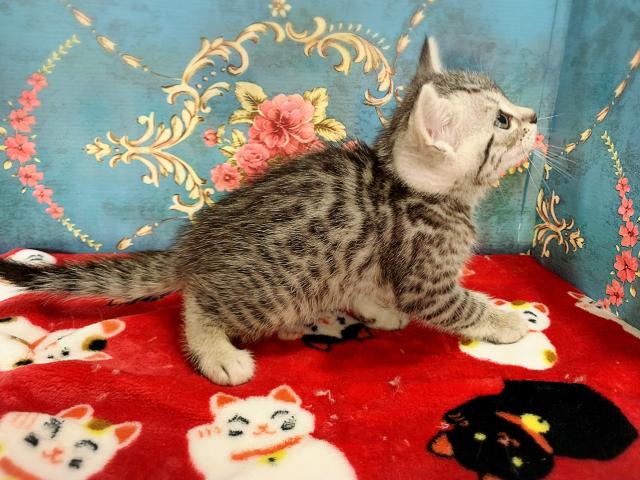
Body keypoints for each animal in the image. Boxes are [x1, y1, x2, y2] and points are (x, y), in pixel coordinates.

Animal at [0, 37, 538, 385]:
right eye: (502, 120)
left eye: (509, 105)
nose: (533, 116)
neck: (410, 188)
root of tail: (194, 247)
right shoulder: (425, 277)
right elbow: (458, 305)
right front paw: (506, 322)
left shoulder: (369, 263)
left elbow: (365, 283)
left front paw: (375, 308)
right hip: (271, 292)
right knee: (196, 303)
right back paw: (217, 352)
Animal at [428, 380, 638, 480]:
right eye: (515, 461)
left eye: (480, 436)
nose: (503, 436)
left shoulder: (499, 399)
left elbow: (477, 403)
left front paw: (454, 416)